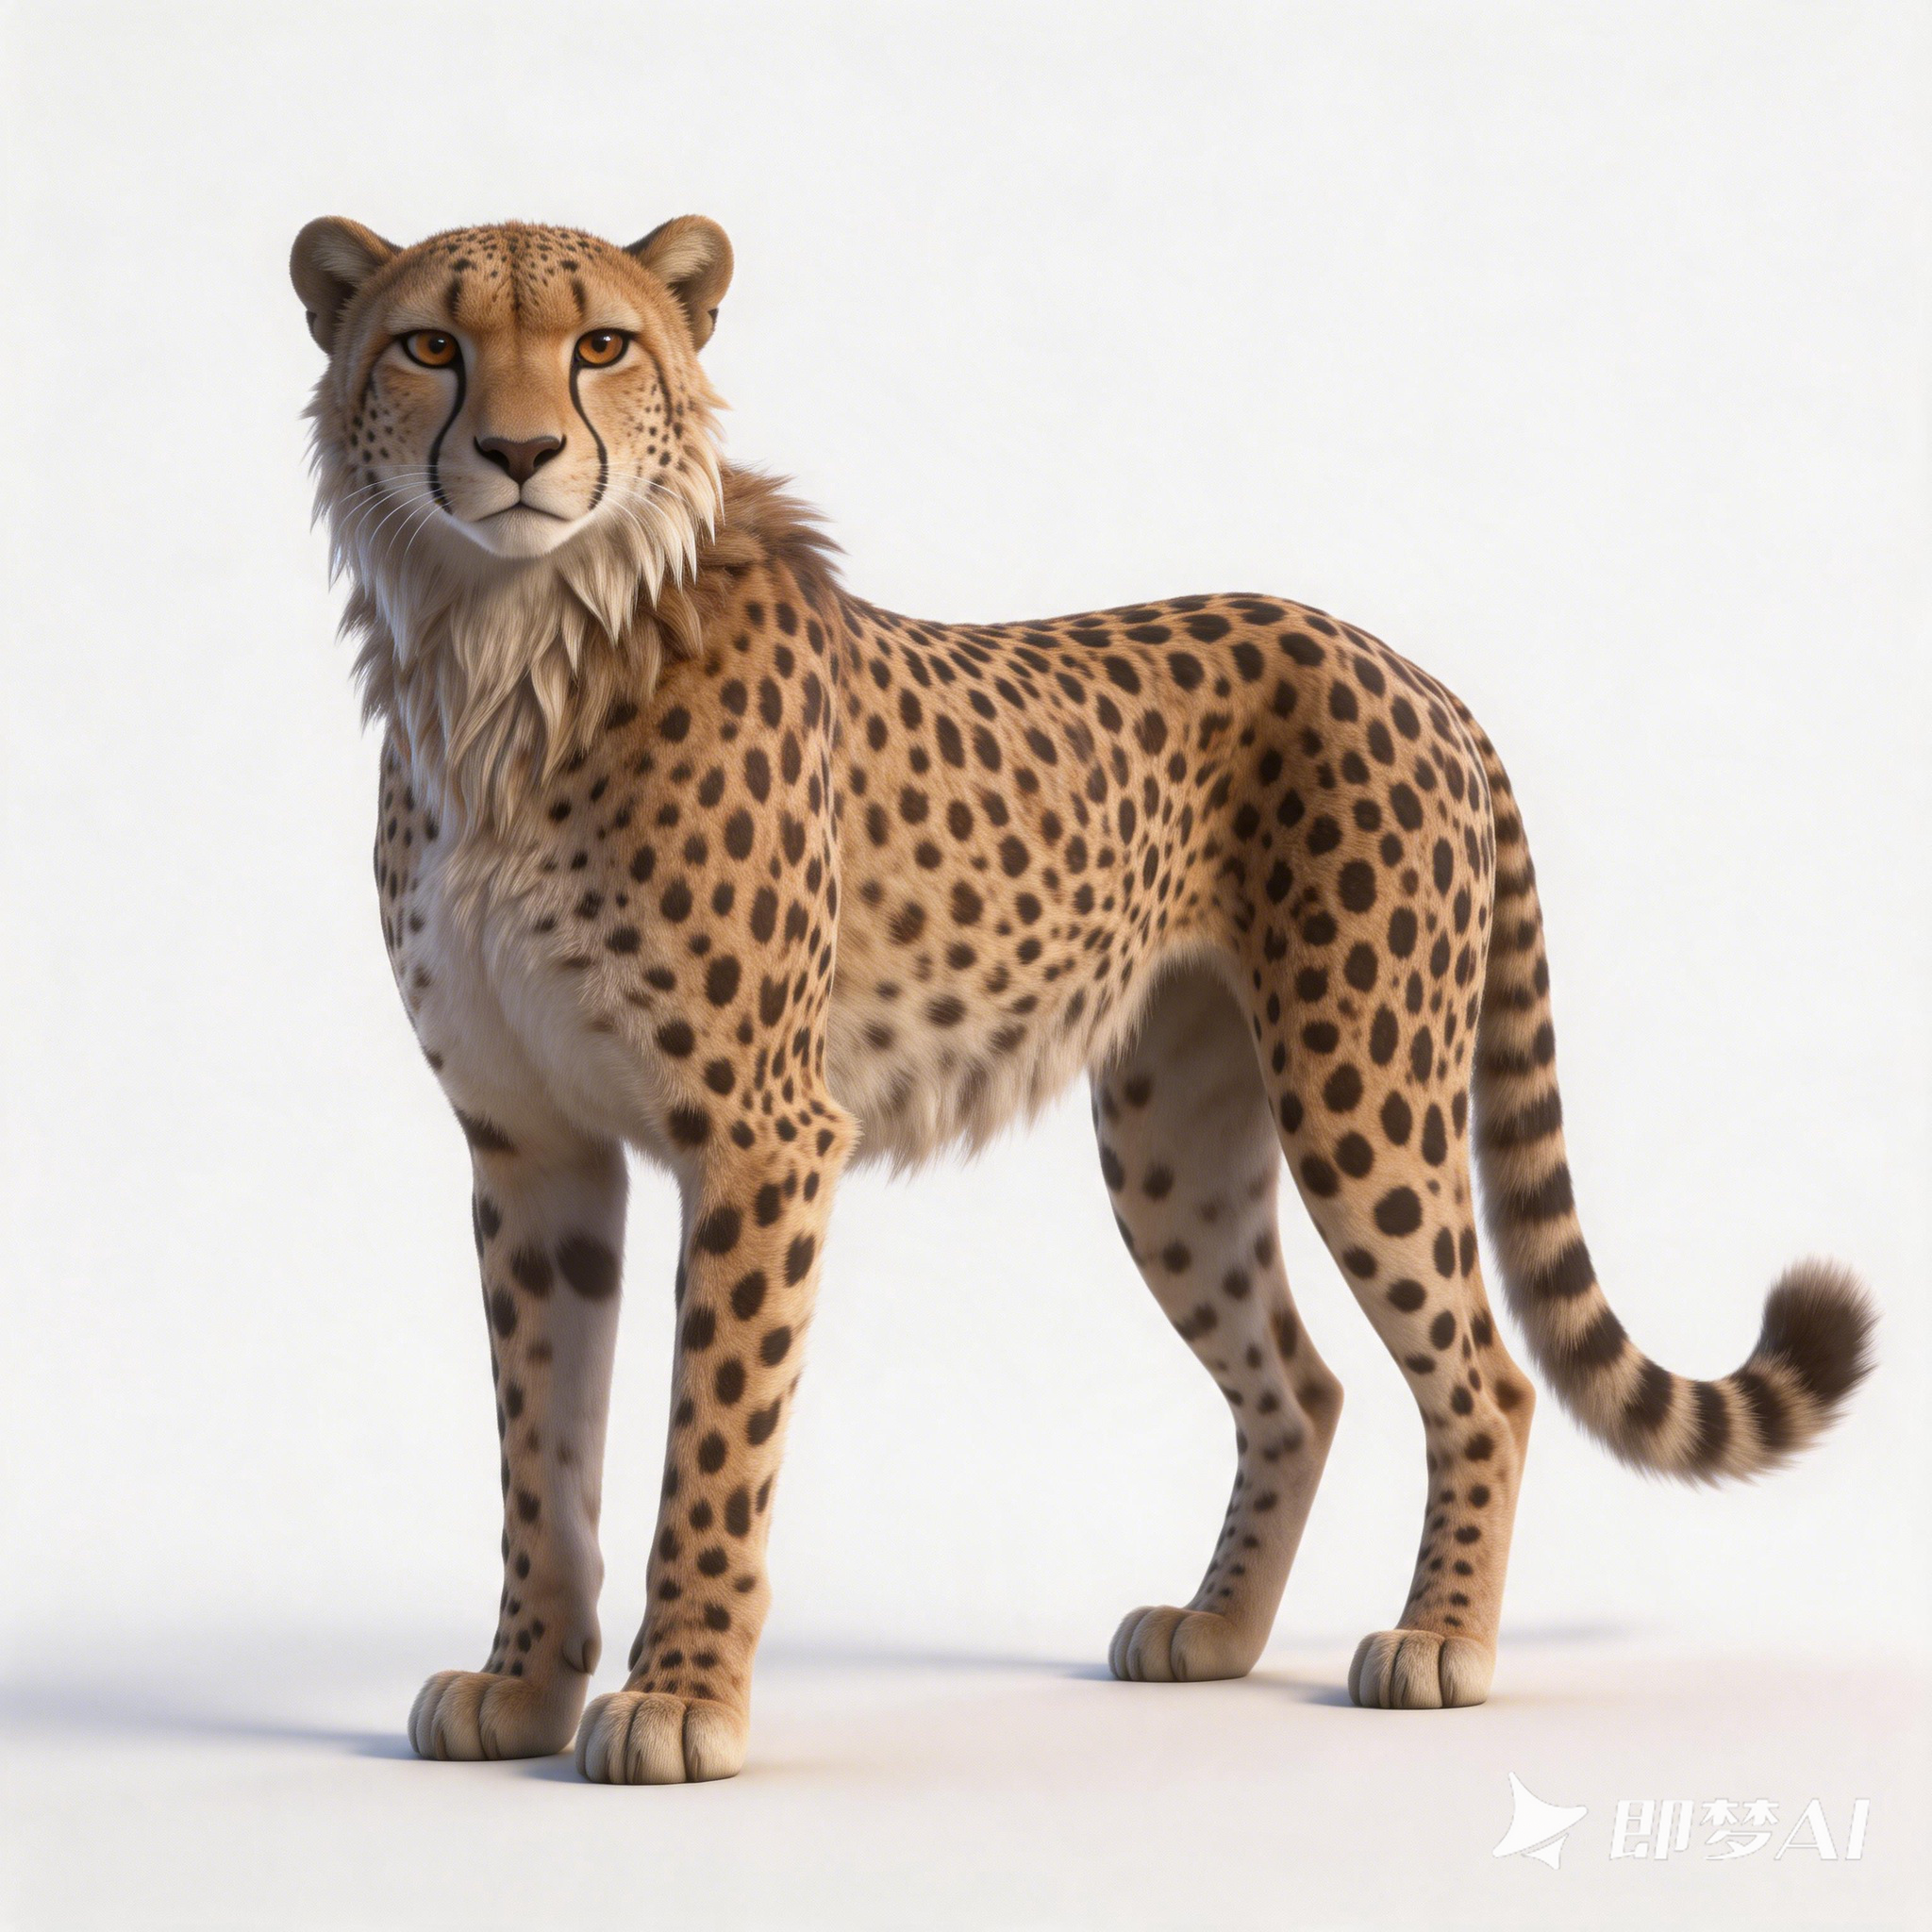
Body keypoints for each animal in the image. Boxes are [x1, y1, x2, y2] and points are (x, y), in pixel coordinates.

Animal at [291, 213, 1875, 1784]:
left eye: (601, 345)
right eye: (430, 344)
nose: (518, 454)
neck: (511, 655)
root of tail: (1397, 660)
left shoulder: (758, 1135)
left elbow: (713, 1444)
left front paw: (680, 1699)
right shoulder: (531, 1146)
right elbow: (539, 1449)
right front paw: (522, 1686)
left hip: (1359, 1089)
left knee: (1487, 1372)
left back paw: (1441, 1642)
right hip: (1175, 1138)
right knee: (1301, 1382)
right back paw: (1215, 1630)